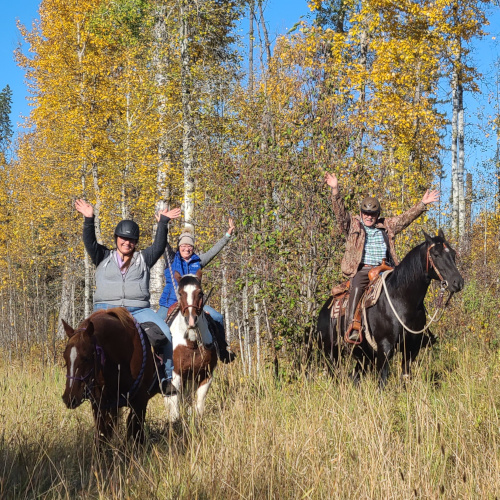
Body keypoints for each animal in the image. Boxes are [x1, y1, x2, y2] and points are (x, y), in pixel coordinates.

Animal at [62, 308, 157, 442]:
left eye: (86, 358)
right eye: (65, 357)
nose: (69, 398)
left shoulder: (140, 403)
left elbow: (136, 435)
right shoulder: (99, 405)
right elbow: (102, 436)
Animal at [165, 270, 218, 422]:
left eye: (200, 293)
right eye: (180, 293)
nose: (191, 320)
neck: (192, 342)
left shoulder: (205, 375)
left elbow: (199, 405)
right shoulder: (176, 375)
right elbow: (175, 408)